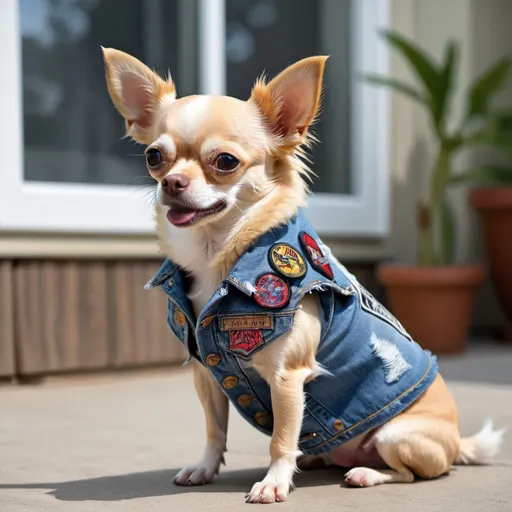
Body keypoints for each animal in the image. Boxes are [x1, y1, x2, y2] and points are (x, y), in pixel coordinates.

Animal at [103, 49, 504, 504]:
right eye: (154, 156)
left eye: (225, 162)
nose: (171, 182)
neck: (219, 254)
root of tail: (456, 441)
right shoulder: (208, 374)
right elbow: (214, 429)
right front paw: (205, 468)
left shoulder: (287, 377)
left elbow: (280, 438)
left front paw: (274, 482)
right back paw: (314, 459)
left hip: (396, 436)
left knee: (408, 473)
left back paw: (366, 473)